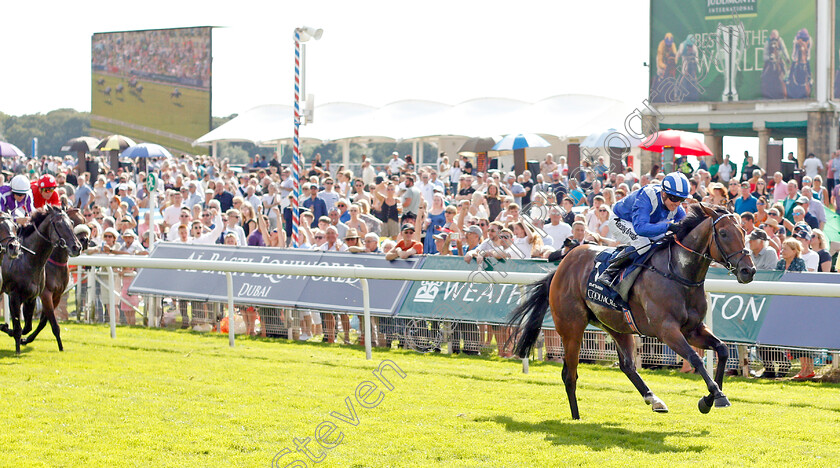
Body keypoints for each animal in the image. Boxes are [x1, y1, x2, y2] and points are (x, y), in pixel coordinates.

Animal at [0, 206, 81, 354]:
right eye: (59, 225)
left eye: (72, 223)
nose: (77, 247)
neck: (29, 260)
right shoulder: (28, 294)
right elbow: (22, 325)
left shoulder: (39, 296)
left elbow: (32, 325)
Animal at [22, 207, 89, 350]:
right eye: (73, 221)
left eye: (83, 219)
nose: (81, 244)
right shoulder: (46, 293)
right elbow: (53, 321)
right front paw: (61, 347)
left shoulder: (57, 295)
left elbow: (44, 321)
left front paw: (26, 339)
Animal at [508, 205, 756, 420]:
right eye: (723, 233)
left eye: (744, 231)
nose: (749, 270)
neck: (679, 273)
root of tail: (562, 266)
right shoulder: (667, 331)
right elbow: (695, 358)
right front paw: (717, 396)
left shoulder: (693, 329)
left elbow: (722, 350)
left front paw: (709, 399)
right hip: (572, 328)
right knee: (570, 375)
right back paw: (576, 417)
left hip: (615, 324)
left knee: (627, 365)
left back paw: (654, 399)